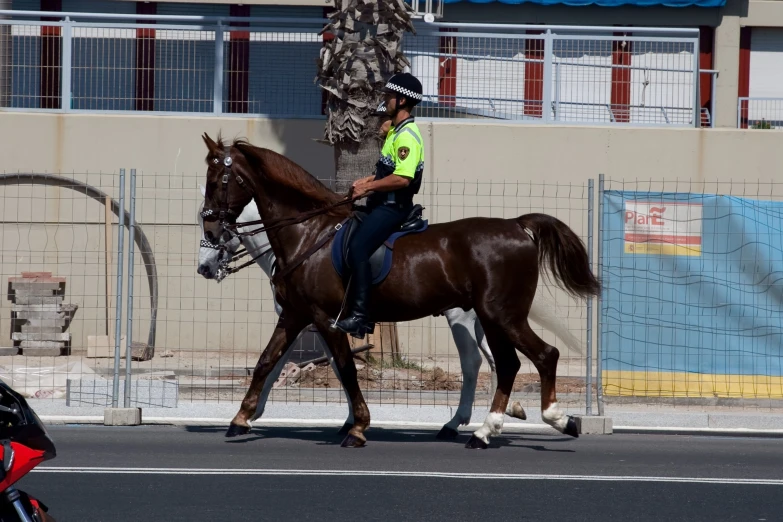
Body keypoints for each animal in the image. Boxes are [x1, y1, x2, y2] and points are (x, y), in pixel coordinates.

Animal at [201, 132, 600, 444]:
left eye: (219, 179)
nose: (211, 232)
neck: (307, 234)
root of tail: (517, 225)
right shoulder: (296, 315)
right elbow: (266, 361)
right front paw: (241, 418)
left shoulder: (324, 318)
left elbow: (345, 369)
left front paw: (357, 426)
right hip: (493, 318)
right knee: (506, 364)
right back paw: (486, 428)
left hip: (501, 315)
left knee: (540, 355)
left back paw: (552, 419)